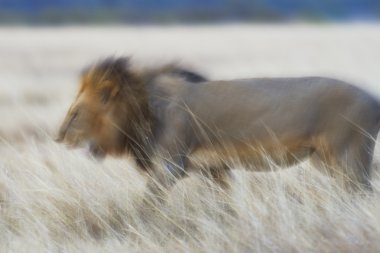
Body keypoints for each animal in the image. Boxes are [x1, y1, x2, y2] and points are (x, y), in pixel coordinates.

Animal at [57, 56, 380, 196]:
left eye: (75, 114)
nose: (58, 138)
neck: (143, 109)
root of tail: (374, 99)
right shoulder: (214, 170)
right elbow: (224, 207)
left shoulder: (169, 166)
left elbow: (147, 203)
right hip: (324, 161)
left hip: (350, 160)